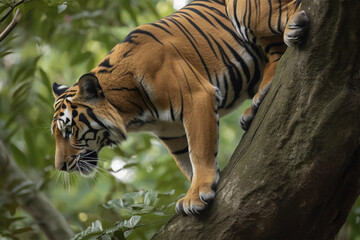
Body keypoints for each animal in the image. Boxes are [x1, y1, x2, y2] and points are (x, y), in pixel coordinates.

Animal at [51, 0, 310, 215]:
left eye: (68, 131)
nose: (60, 167)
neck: (132, 114)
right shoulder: (171, 132)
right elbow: (186, 162)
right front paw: (199, 188)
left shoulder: (196, 97)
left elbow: (199, 151)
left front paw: (197, 194)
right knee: (277, 53)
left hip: (245, 9)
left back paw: (294, 27)